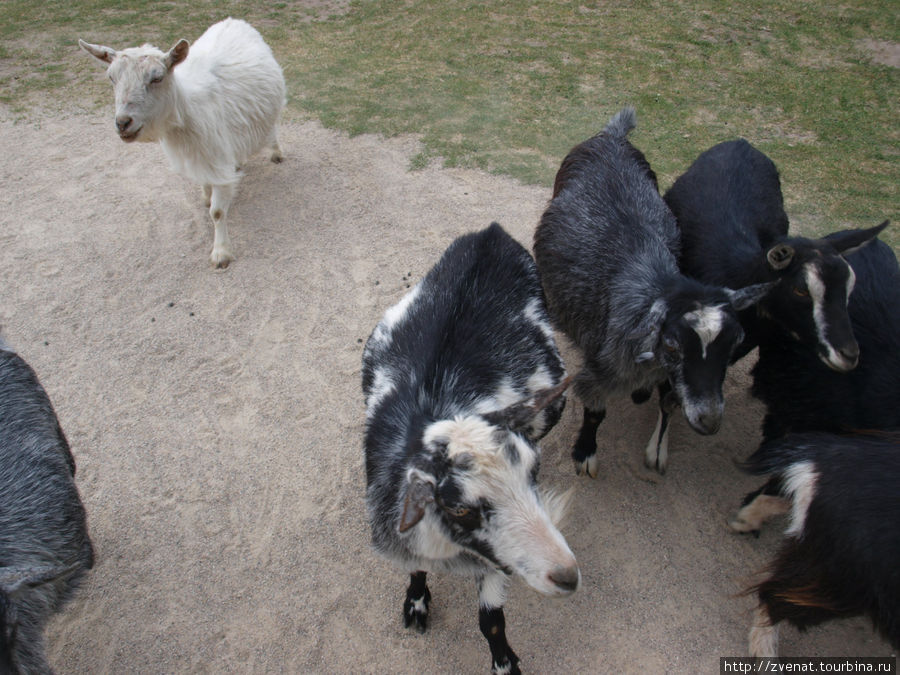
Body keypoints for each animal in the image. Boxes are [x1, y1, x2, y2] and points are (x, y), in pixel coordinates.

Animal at [81, 17, 284, 270]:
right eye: (112, 78)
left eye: (157, 78)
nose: (123, 123)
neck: (188, 111)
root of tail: (233, 21)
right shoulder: (203, 155)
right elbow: (207, 185)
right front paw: (207, 196)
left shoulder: (215, 153)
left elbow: (217, 212)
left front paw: (221, 253)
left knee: (273, 127)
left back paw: (276, 153)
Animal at [362, 223, 580, 675]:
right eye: (460, 508)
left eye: (533, 472)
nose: (567, 576)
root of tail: (491, 233)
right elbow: (418, 570)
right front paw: (416, 601)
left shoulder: (497, 561)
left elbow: (491, 621)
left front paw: (505, 663)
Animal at [532, 107, 768, 476]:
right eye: (672, 344)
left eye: (736, 343)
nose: (709, 421)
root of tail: (613, 136)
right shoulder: (602, 366)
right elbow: (596, 411)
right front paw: (585, 453)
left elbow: (668, 402)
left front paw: (657, 445)